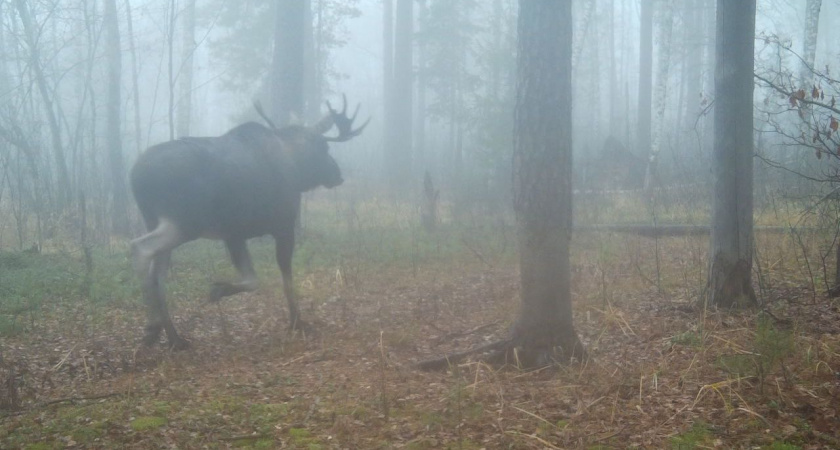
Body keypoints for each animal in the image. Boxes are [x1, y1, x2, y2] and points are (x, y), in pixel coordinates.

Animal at [131, 96, 368, 348]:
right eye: (324, 147)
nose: (337, 175)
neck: (295, 166)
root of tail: (135, 175)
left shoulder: (234, 234)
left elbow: (252, 279)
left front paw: (220, 289)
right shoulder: (283, 226)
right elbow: (283, 276)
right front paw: (296, 321)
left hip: (154, 220)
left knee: (157, 275)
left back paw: (173, 337)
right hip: (183, 223)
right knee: (140, 248)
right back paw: (153, 326)